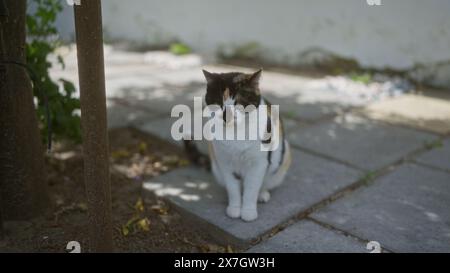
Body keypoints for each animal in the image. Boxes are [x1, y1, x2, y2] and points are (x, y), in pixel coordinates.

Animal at [185, 68, 290, 221]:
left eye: (238, 102)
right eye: (219, 102)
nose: (226, 115)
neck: (235, 133)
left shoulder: (258, 164)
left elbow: (251, 188)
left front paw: (248, 212)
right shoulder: (225, 162)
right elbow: (233, 188)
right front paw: (234, 208)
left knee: (264, 182)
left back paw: (262, 194)